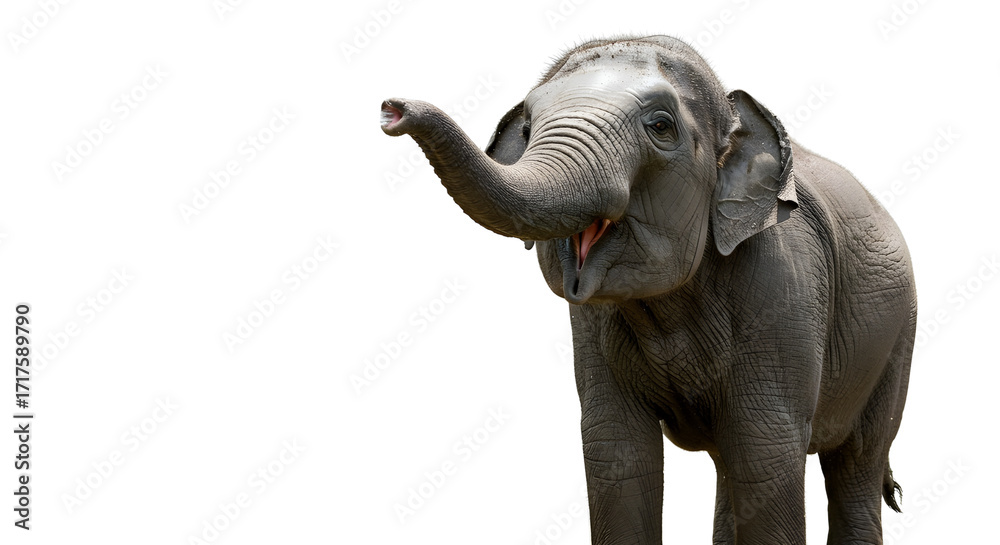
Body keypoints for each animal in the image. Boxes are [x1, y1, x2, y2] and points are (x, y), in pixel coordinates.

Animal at [380, 35, 915, 545]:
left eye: (660, 126)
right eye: (528, 130)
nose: (392, 109)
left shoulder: (784, 290)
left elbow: (766, 448)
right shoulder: (593, 329)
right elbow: (617, 451)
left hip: (896, 341)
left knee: (857, 461)